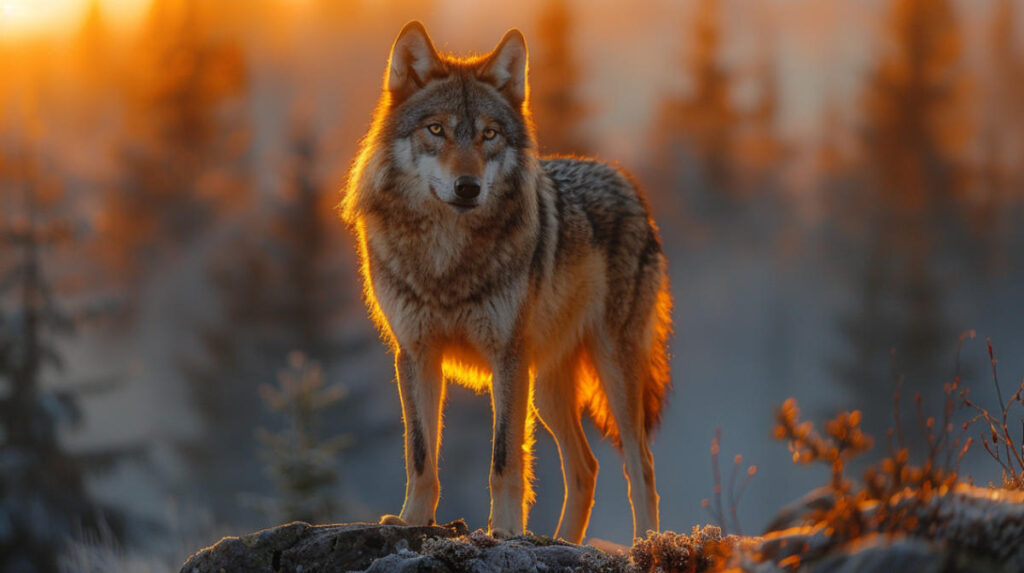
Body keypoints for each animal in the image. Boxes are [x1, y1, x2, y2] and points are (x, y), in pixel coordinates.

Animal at [340, 21, 672, 543]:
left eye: (489, 134)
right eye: (436, 129)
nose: (468, 187)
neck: (446, 257)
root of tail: (623, 178)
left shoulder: (508, 357)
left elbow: (504, 458)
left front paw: (506, 530)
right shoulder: (415, 353)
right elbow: (420, 454)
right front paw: (413, 521)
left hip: (610, 370)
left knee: (641, 466)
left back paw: (646, 545)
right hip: (549, 388)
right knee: (587, 467)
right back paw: (562, 542)